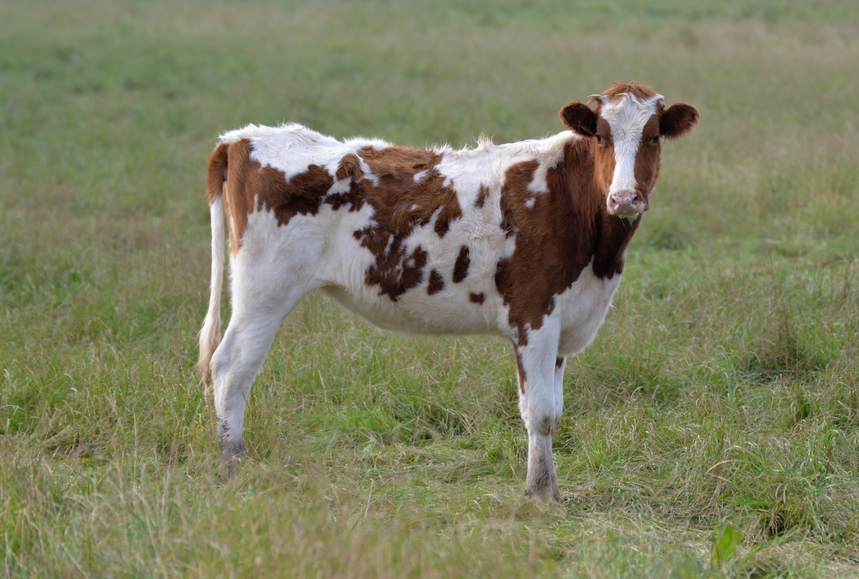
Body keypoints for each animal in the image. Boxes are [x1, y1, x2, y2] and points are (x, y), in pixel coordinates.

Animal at [198, 82, 698, 502]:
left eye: (653, 138)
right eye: (601, 138)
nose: (625, 198)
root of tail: (243, 137)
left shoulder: (565, 323)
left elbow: (554, 409)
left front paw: (551, 490)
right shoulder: (533, 316)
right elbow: (539, 412)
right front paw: (538, 494)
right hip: (264, 289)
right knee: (231, 368)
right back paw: (231, 467)